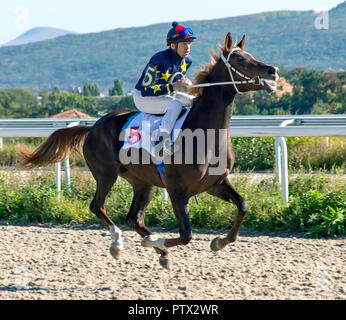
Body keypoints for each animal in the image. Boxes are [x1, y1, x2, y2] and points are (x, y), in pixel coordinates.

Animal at [18, 32, 278, 268]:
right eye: (240, 59)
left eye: (250, 55)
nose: (272, 70)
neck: (206, 135)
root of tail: (93, 126)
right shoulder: (177, 190)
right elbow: (186, 235)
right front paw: (159, 241)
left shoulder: (214, 183)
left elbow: (243, 206)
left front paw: (218, 242)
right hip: (106, 174)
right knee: (97, 206)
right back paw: (120, 243)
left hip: (143, 183)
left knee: (134, 218)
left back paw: (158, 250)